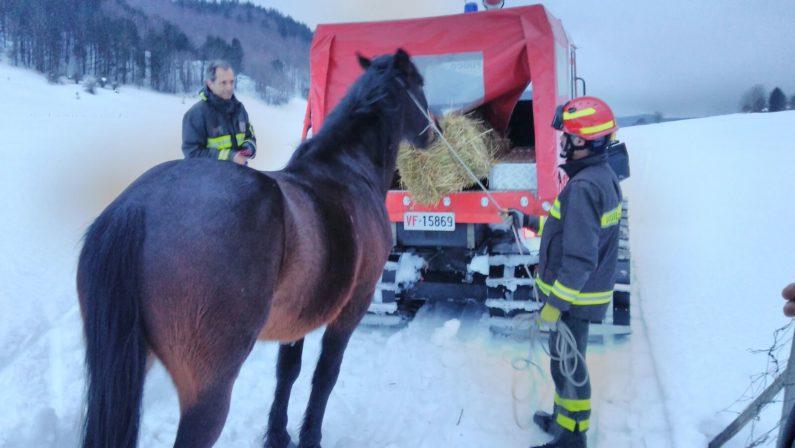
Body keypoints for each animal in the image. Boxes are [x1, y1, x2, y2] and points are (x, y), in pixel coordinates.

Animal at [78, 49, 438, 448]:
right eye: (420, 83)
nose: (433, 133)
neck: (347, 169)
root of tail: (136, 207)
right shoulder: (352, 307)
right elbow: (325, 374)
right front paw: (309, 436)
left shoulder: (297, 317)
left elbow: (287, 372)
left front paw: (278, 434)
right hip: (209, 389)